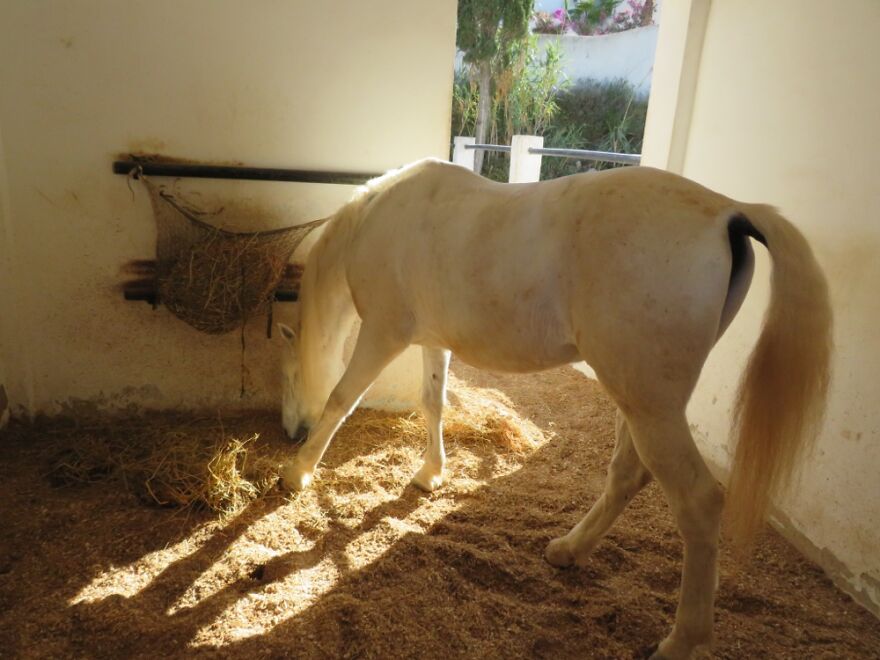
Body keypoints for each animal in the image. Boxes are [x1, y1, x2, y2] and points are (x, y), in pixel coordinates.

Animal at [276, 158, 831, 659]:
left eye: (288, 374)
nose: (289, 431)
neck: (379, 218)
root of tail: (728, 212)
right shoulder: (433, 340)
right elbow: (433, 403)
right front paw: (430, 474)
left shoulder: (383, 333)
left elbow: (341, 400)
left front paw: (297, 473)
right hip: (642, 400)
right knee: (628, 475)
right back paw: (568, 550)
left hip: (648, 404)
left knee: (698, 501)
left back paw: (680, 641)